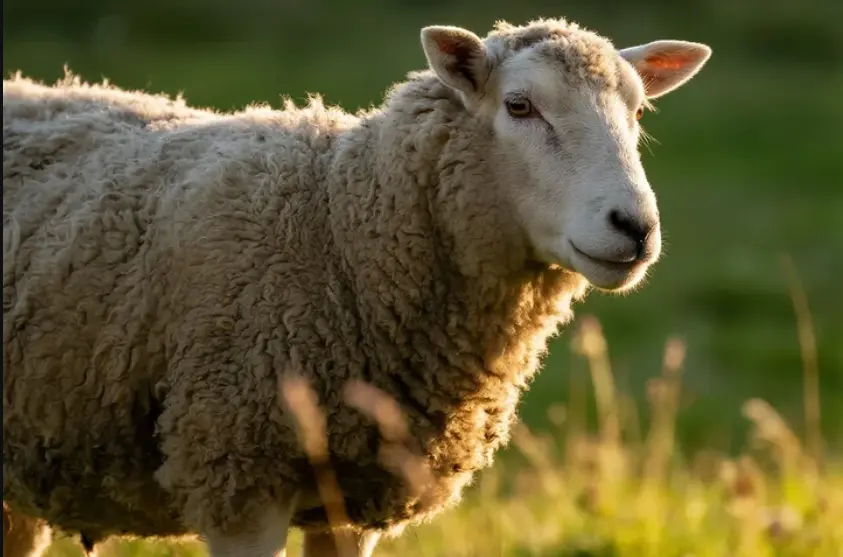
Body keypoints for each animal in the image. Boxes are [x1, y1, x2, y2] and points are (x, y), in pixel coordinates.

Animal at [2, 16, 711, 557]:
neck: (338, 225)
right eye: (519, 106)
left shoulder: (353, 502)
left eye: (638, 111)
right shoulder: (238, 477)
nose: (635, 227)